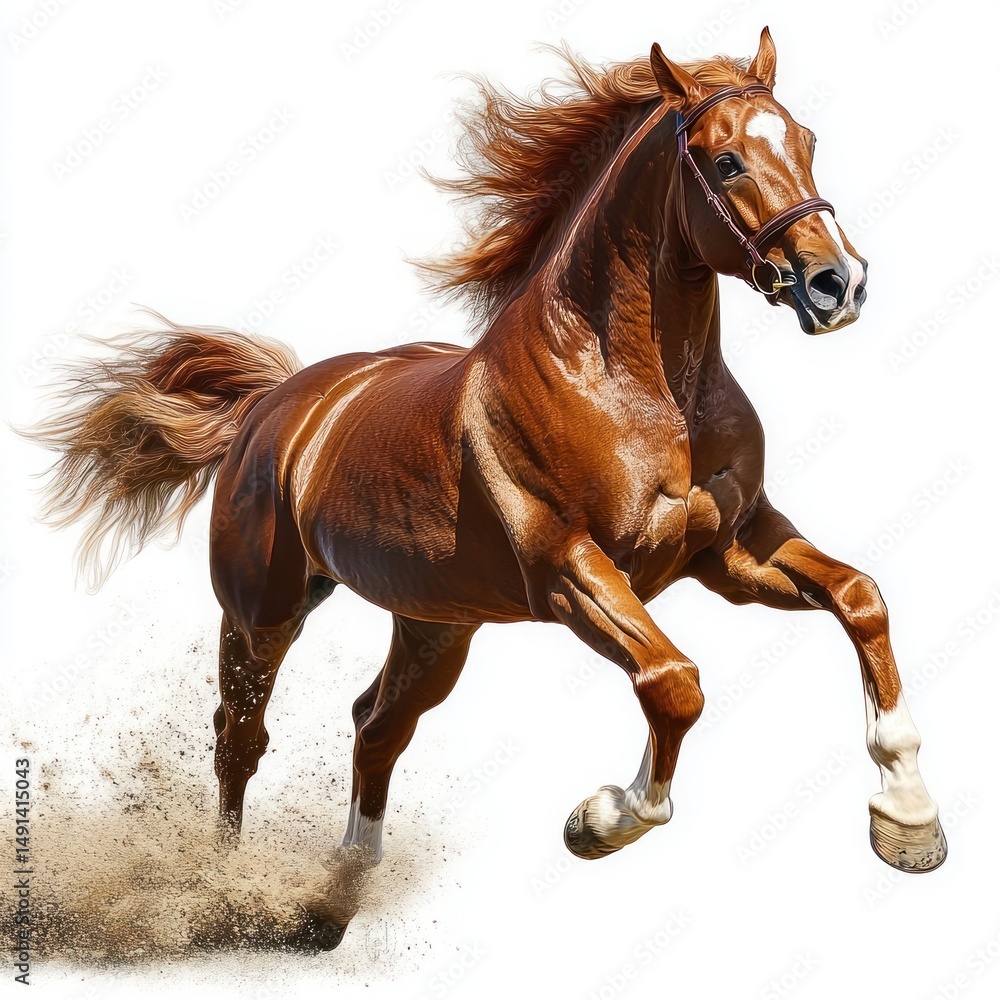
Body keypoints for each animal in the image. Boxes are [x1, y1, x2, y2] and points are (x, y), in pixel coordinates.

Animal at [29, 28, 946, 949]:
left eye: (807, 141)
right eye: (725, 162)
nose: (839, 284)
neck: (641, 387)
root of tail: (276, 403)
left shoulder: (731, 550)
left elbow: (860, 599)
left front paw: (908, 819)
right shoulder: (570, 570)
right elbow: (673, 682)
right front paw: (598, 820)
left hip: (436, 626)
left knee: (376, 727)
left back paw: (334, 898)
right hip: (265, 611)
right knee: (240, 736)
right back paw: (220, 893)